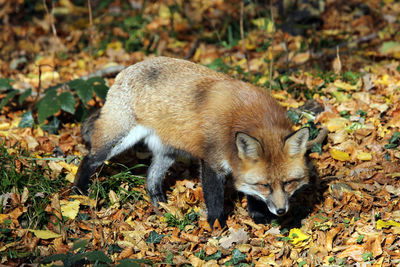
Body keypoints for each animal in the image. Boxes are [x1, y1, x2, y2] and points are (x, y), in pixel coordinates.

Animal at [74, 56, 324, 228]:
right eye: (265, 185)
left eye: (288, 182)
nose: (281, 211)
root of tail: (125, 70)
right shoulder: (212, 161)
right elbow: (214, 199)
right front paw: (216, 225)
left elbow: (249, 194)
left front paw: (258, 217)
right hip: (116, 141)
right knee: (89, 159)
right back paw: (79, 192)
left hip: (168, 152)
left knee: (151, 178)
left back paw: (161, 205)